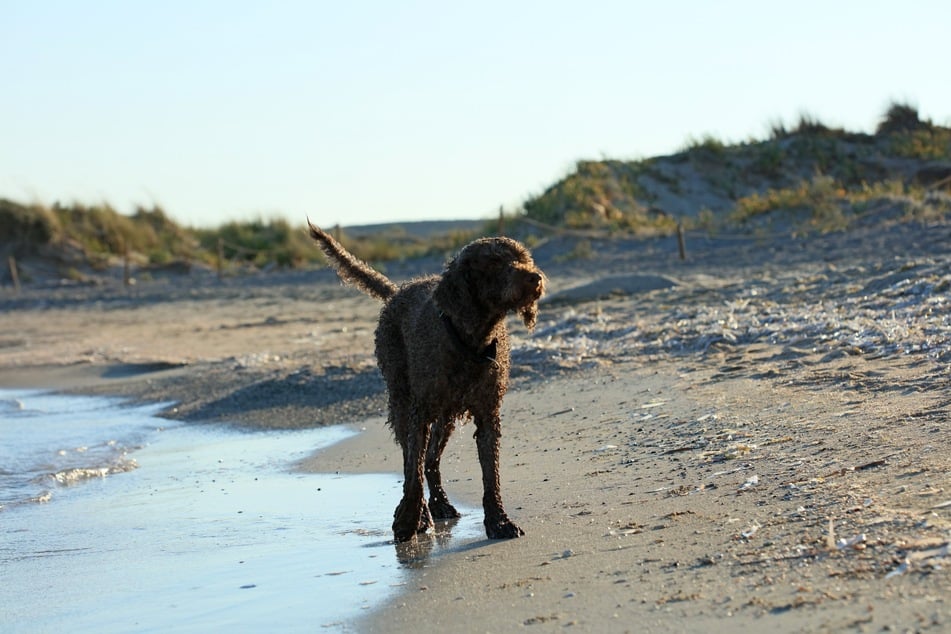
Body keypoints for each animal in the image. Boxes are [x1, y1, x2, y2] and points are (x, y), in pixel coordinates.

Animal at [308, 220, 548, 540]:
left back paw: (440, 503)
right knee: (414, 459)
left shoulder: (487, 415)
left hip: (445, 417)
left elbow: (490, 475)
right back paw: (423, 513)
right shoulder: (419, 413)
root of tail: (398, 291)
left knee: (431, 459)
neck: (469, 340)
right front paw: (409, 521)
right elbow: (412, 471)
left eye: (523, 258)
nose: (535, 278)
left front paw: (498, 521)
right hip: (401, 402)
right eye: (494, 262)